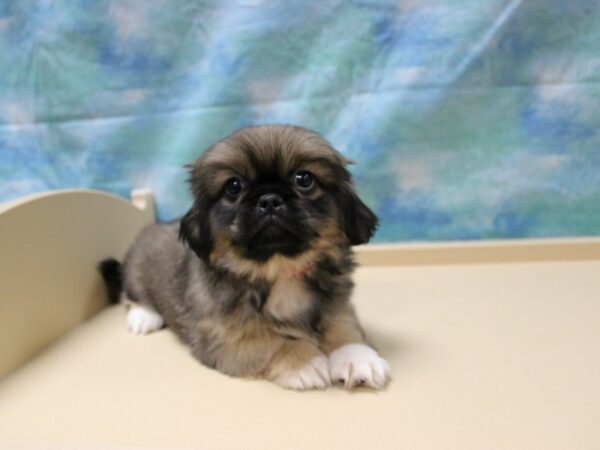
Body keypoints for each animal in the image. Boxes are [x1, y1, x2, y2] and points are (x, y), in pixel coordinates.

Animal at [101, 124, 392, 390]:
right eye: (233, 186)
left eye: (304, 179)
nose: (270, 199)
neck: (279, 269)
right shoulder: (222, 334)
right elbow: (268, 341)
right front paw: (304, 362)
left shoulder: (338, 304)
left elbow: (344, 327)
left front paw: (357, 357)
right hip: (136, 275)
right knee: (130, 295)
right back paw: (143, 317)